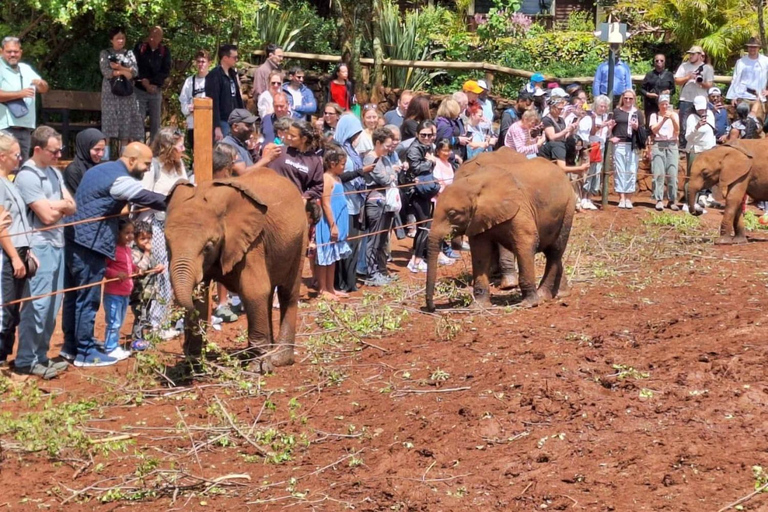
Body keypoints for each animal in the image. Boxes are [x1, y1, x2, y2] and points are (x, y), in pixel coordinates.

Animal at [166, 169, 308, 372]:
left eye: (208, 247)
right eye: (167, 244)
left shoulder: (253, 243)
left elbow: (254, 291)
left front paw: (258, 369)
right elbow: (200, 297)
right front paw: (192, 367)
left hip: (300, 238)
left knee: (287, 292)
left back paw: (278, 359)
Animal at [426, 151, 576, 312]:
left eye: (453, 213)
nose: (432, 308)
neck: (475, 183)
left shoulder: (519, 207)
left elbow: (526, 243)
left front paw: (528, 303)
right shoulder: (478, 217)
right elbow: (480, 251)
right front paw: (478, 306)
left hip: (568, 207)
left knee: (555, 251)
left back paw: (543, 295)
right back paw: (560, 294)